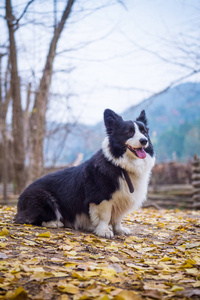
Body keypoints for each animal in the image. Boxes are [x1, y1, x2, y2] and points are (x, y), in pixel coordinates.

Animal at [14, 109, 155, 238]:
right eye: (129, 132)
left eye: (144, 132)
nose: (144, 141)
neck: (121, 165)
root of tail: (20, 200)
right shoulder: (101, 198)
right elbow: (105, 216)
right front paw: (104, 231)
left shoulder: (122, 199)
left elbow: (117, 218)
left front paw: (119, 230)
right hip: (45, 199)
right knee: (28, 218)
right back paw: (54, 223)